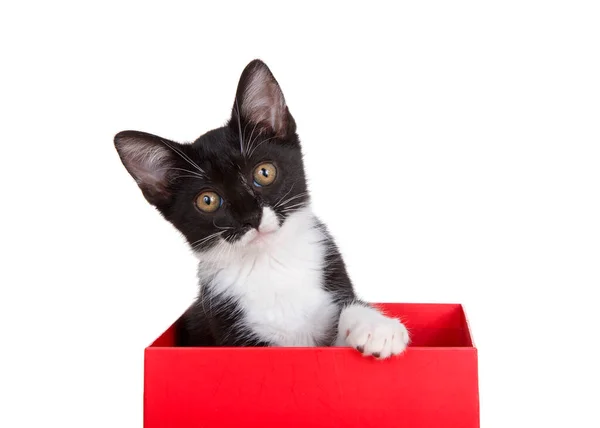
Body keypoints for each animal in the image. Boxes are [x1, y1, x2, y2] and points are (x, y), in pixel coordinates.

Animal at [115, 57, 410, 358]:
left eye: (264, 172)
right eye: (207, 201)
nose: (250, 217)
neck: (270, 263)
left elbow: (347, 314)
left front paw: (376, 327)